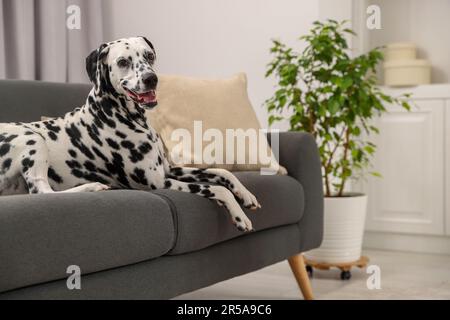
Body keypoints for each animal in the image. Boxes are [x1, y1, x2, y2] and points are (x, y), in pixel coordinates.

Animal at [0, 36, 260, 231]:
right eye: (123, 61)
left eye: (149, 55)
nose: (151, 79)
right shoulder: (157, 182)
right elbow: (216, 188)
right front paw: (239, 215)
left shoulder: (168, 169)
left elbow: (223, 172)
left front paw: (246, 195)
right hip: (33, 139)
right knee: (42, 192)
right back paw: (92, 187)